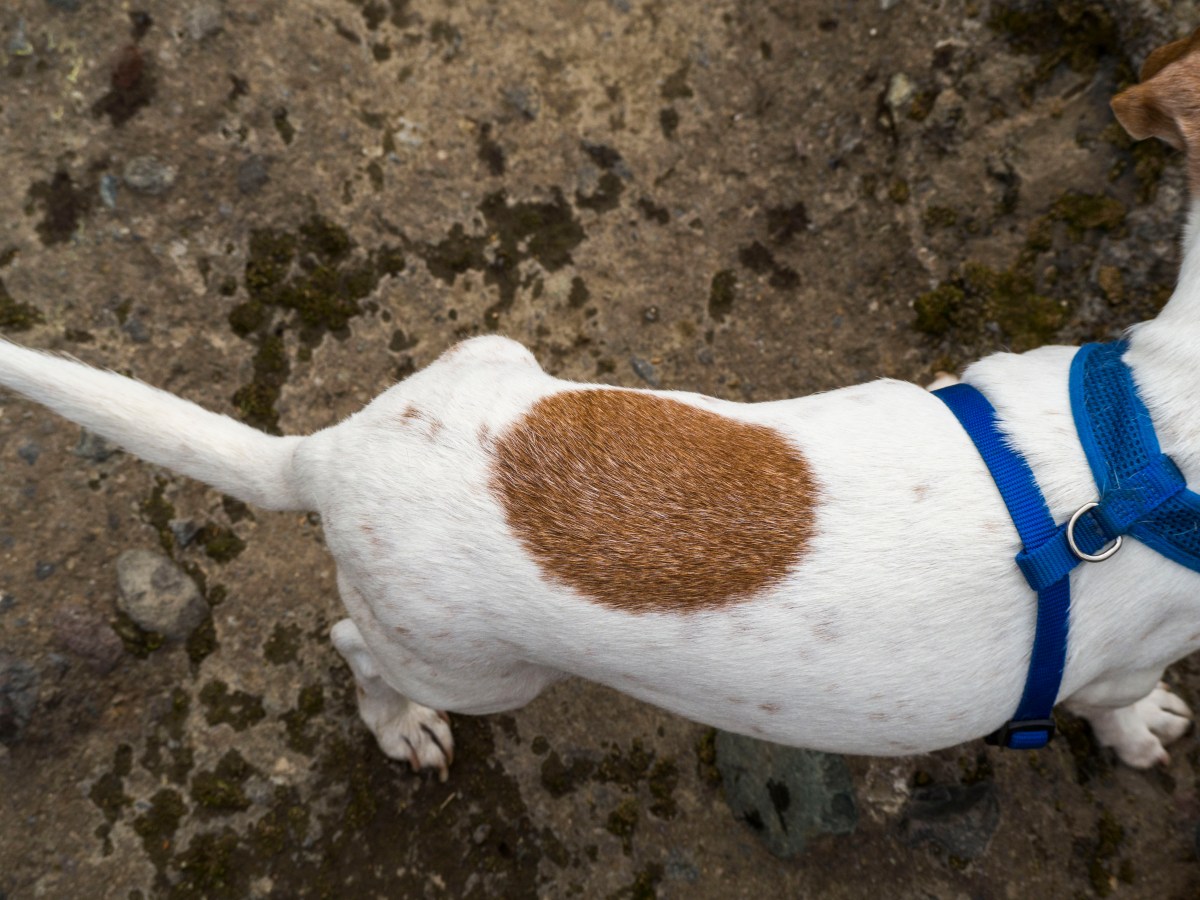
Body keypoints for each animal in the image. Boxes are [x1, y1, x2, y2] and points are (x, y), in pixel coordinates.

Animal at [2, 34, 1200, 783]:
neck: (1146, 433)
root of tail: (336, 455)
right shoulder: (1125, 660)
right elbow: (1122, 702)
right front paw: (1144, 735)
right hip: (477, 668)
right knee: (355, 647)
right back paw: (402, 728)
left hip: (497, 361)